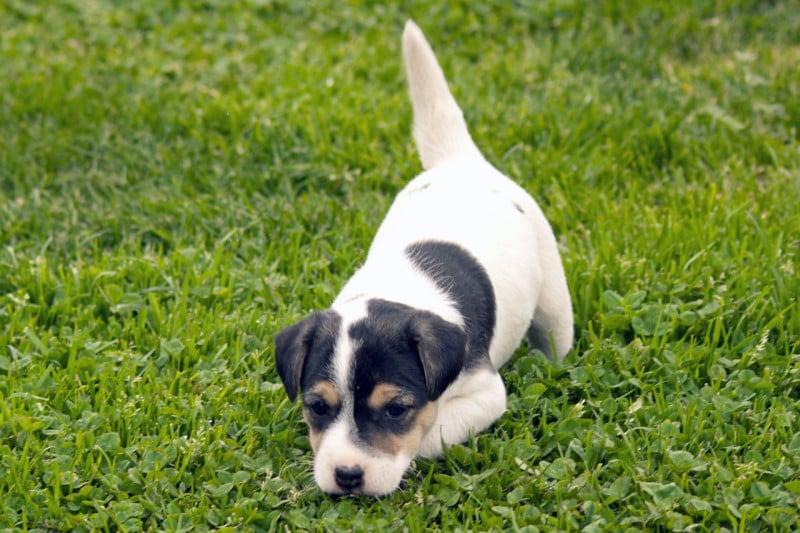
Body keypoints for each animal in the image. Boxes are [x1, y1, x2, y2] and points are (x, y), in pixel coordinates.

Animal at [275, 20, 573, 496]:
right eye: (318, 406)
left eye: (396, 409)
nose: (347, 476)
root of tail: (462, 161)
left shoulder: (486, 393)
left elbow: (429, 433)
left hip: (554, 307)